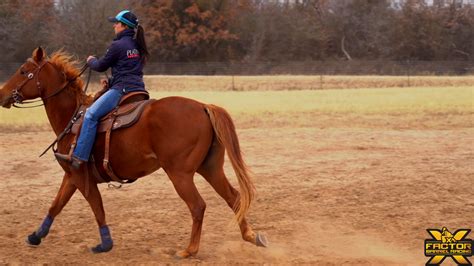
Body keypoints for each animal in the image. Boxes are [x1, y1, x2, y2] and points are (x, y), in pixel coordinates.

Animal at [0, 47, 266, 258]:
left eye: (23, 71)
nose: (2, 94)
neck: (73, 116)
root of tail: (203, 106)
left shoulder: (80, 175)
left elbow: (97, 207)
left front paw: (105, 244)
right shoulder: (70, 175)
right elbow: (56, 205)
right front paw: (35, 236)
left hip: (180, 174)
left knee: (198, 205)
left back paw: (189, 250)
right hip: (210, 168)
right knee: (234, 197)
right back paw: (252, 236)